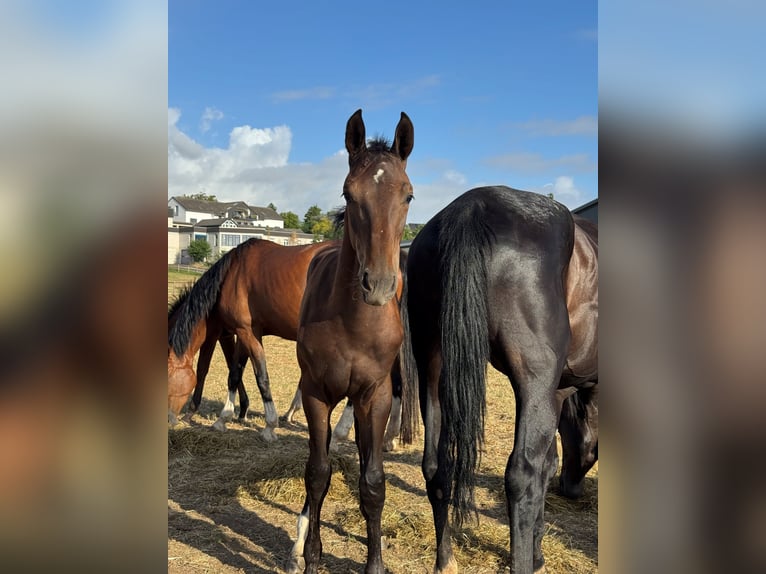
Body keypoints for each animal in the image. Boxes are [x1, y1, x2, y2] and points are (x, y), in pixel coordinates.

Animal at [287, 109, 416, 574]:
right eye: (348, 192)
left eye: (408, 195)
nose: (377, 284)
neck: (353, 324)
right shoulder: (315, 393)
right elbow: (317, 473)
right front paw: (310, 556)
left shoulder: (373, 396)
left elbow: (373, 482)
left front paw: (374, 563)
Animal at [405, 186, 598, 574]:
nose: (571, 490)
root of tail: (470, 208)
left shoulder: (556, 395)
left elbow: (549, 464)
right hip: (532, 383)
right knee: (522, 475)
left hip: (432, 365)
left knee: (436, 468)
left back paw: (445, 561)